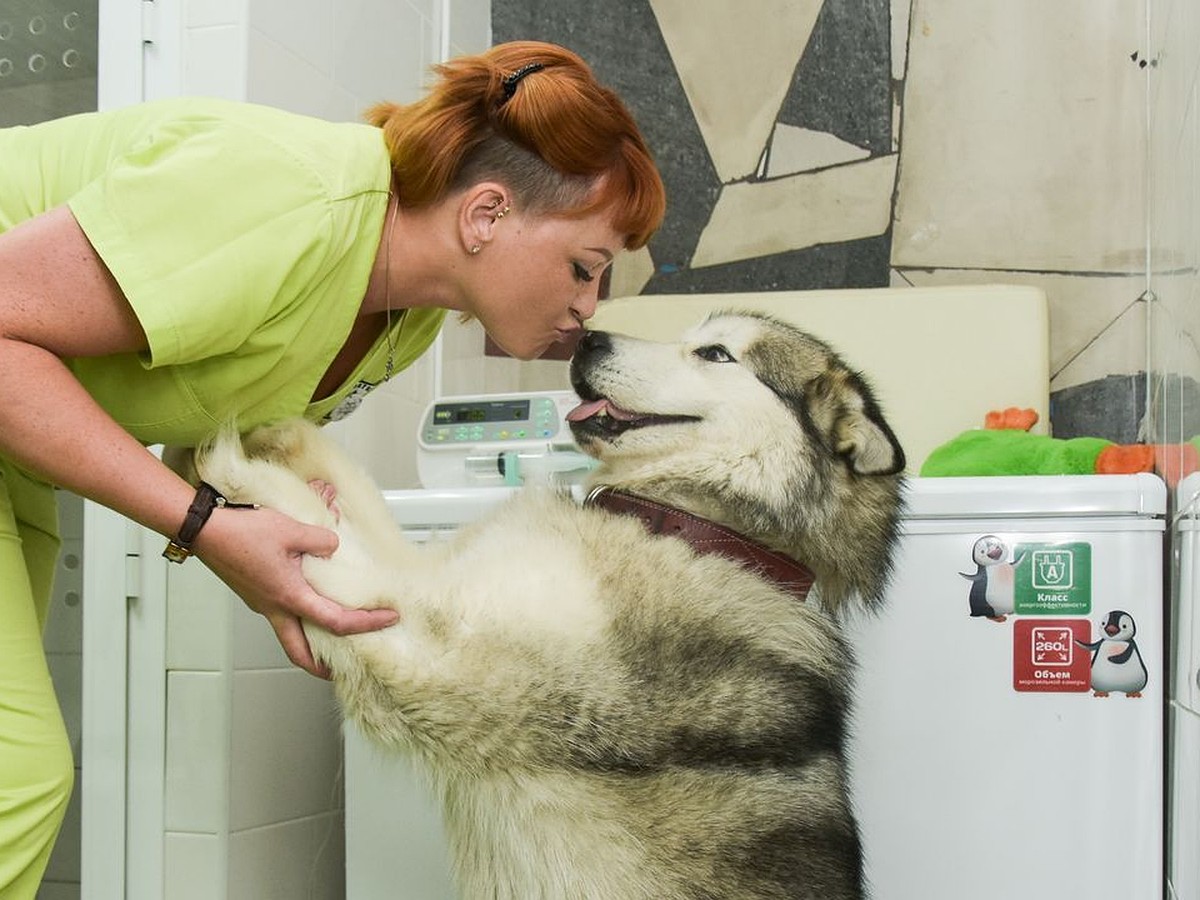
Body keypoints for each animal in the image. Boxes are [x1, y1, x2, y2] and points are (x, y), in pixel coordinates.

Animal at [194, 312, 902, 900]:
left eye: (716, 352)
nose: (588, 338)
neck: (684, 528)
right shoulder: (433, 580)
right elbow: (357, 499)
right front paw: (282, 432)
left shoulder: (431, 647)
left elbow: (324, 531)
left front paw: (234, 464)